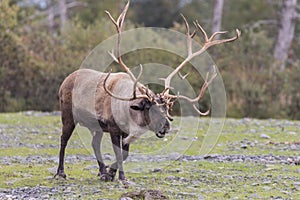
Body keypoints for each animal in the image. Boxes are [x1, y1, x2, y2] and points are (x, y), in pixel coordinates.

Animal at [55, 1, 240, 183]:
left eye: (166, 109)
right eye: (150, 108)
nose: (166, 127)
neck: (130, 112)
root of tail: (65, 80)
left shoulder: (124, 132)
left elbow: (125, 154)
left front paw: (111, 174)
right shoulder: (113, 127)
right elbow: (118, 153)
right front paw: (119, 177)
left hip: (96, 126)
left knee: (94, 144)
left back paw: (101, 171)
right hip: (68, 115)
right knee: (63, 140)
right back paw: (61, 172)